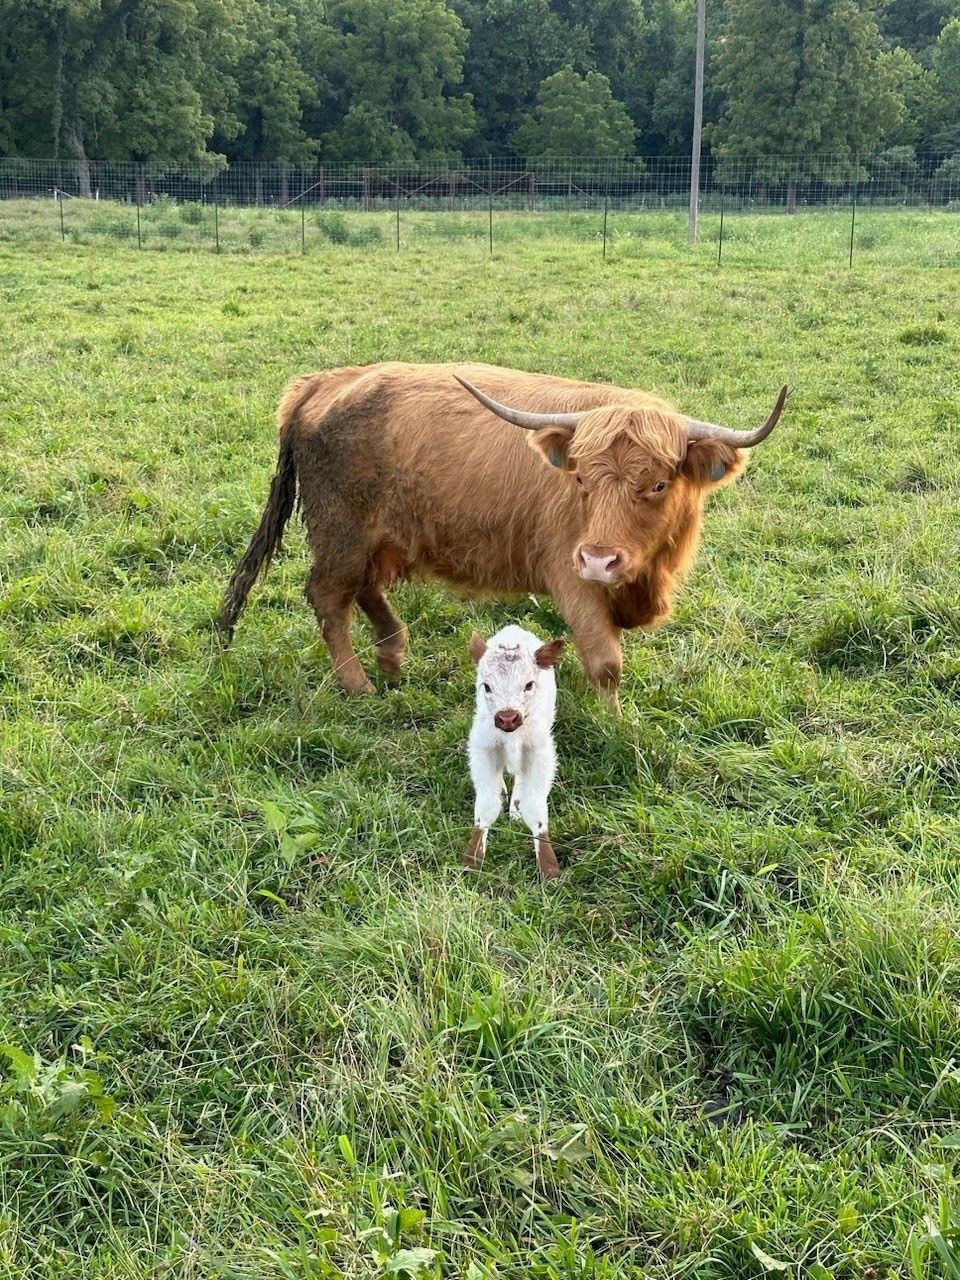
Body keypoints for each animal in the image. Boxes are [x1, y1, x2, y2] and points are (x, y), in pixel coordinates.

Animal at [216, 362, 787, 710]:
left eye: (659, 484)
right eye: (581, 479)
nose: (599, 559)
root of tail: (325, 381)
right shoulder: (570, 576)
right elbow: (606, 663)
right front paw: (616, 727)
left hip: (374, 536)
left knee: (363, 588)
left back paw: (393, 656)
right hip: (341, 530)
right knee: (329, 596)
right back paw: (357, 683)